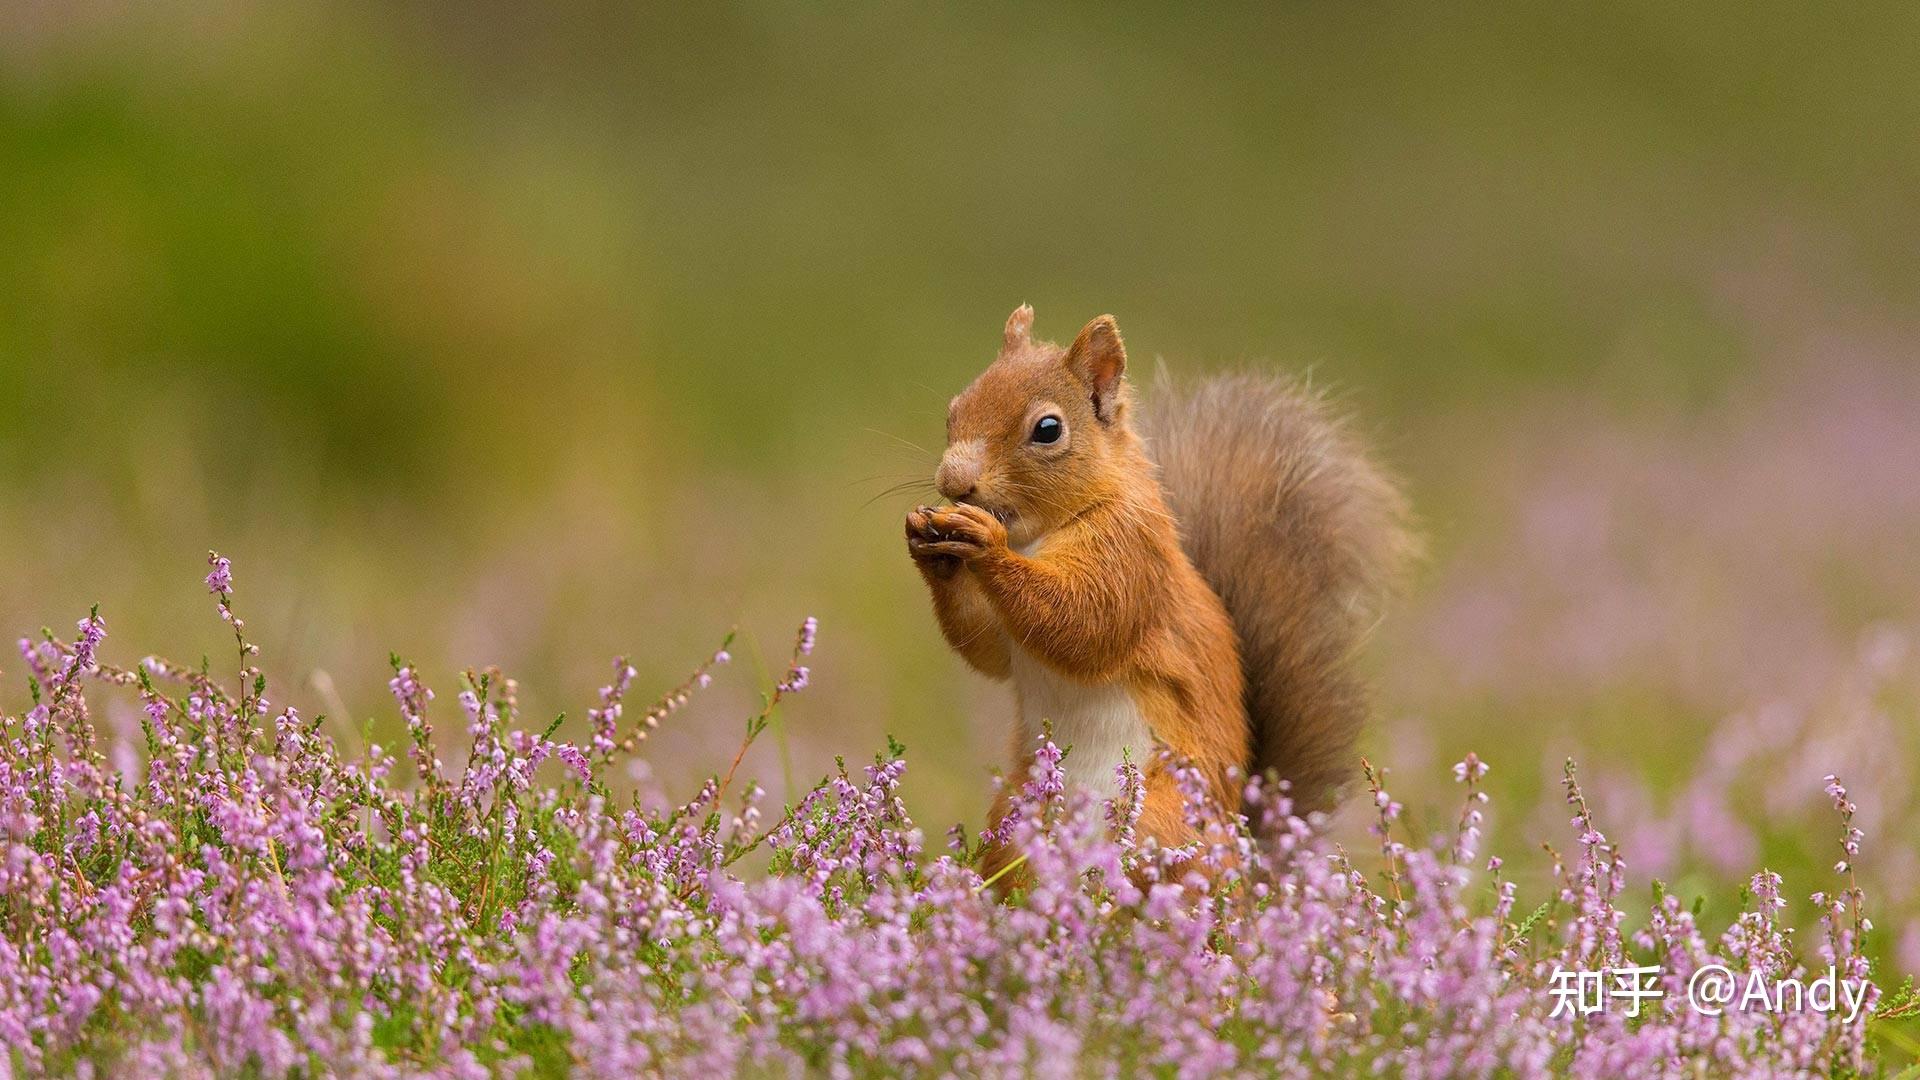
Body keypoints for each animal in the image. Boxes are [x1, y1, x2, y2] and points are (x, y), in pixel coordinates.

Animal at [898, 303, 1413, 876]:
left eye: (1048, 429)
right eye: (954, 409)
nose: (952, 482)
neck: (1037, 535)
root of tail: (1247, 862)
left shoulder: (1131, 556)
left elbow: (1084, 624)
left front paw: (985, 543)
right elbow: (988, 649)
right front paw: (928, 545)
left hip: (1163, 817)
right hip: (1018, 813)